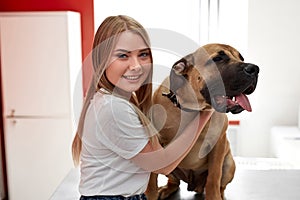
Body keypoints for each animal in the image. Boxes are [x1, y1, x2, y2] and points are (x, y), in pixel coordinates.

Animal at [145, 43, 258, 200]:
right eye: (218, 59)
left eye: (241, 58)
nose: (255, 69)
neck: (193, 108)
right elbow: (151, 180)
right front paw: (151, 193)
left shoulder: (218, 144)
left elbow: (214, 177)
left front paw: (214, 196)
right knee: (174, 182)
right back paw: (166, 189)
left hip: (229, 164)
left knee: (221, 185)